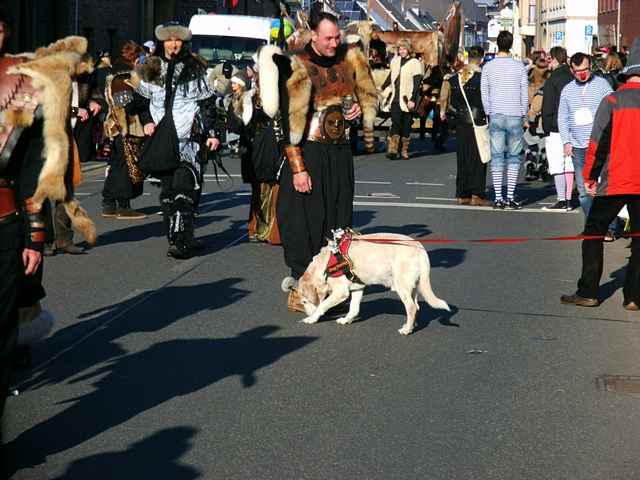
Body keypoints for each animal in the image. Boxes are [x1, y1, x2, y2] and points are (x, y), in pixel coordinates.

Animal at [280, 232, 450, 334]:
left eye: (304, 301)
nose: (307, 313)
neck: (325, 263)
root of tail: (419, 247)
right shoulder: (357, 288)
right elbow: (354, 309)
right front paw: (346, 319)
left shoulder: (341, 292)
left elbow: (322, 305)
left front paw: (312, 318)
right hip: (413, 286)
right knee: (416, 306)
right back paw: (411, 325)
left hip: (401, 285)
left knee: (411, 307)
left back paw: (407, 329)